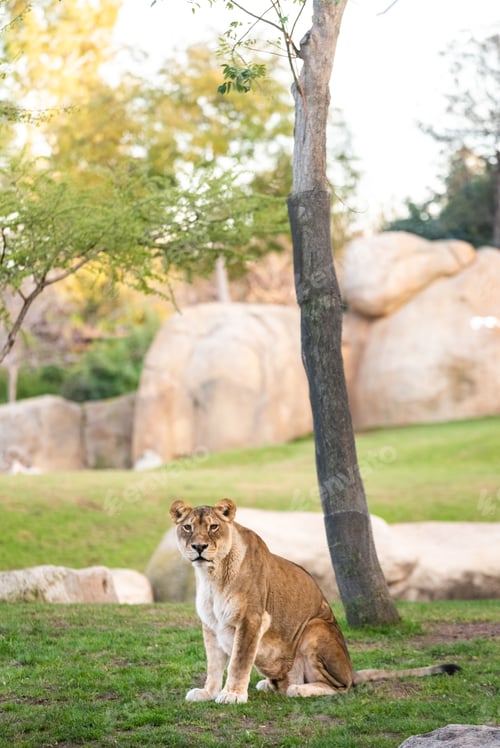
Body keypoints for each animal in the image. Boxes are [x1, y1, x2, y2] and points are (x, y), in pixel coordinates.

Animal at [170, 499, 459, 704]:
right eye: (188, 527)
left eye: (213, 526)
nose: (198, 547)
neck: (212, 576)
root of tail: (351, 670)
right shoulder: (211, 625)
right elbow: (214, 665)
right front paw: (208, 692)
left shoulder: (252, 618)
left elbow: (238, 661)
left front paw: (232, 694)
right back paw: (270, 684)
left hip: (314, 628)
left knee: (340, 687)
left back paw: (299, 689)